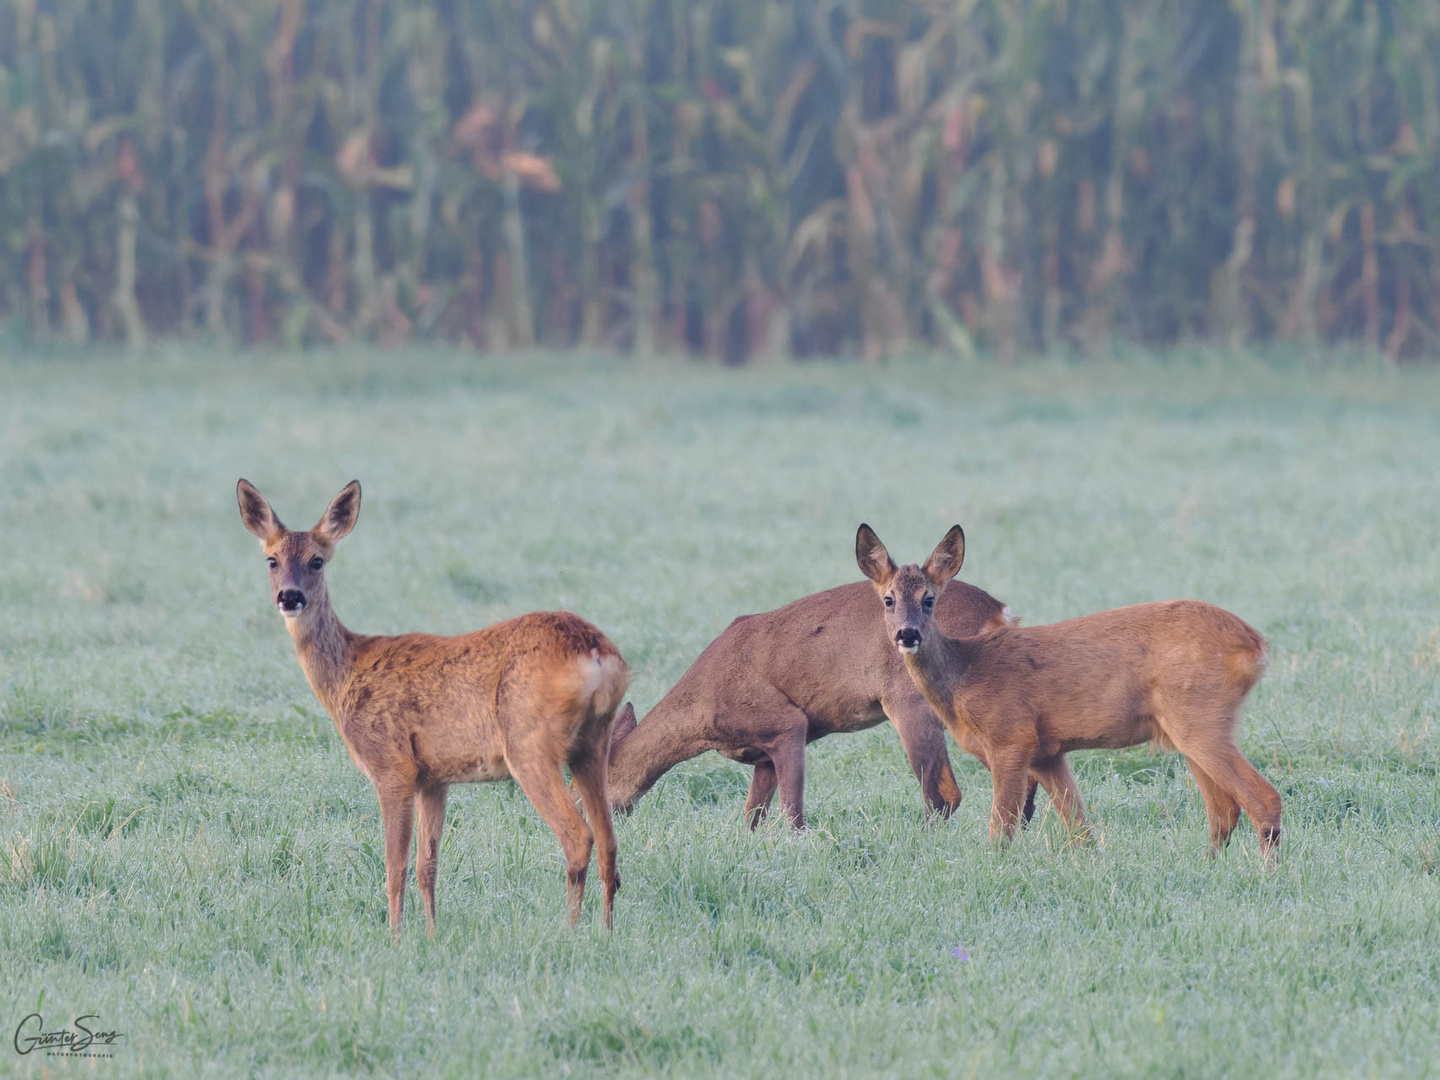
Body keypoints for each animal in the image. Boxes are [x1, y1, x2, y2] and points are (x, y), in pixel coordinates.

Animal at [237, 480, 630, 938]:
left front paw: (394, 938)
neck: (347, 674)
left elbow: (395, 867)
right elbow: (428, 866)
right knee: (609, 842)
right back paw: (605, 931)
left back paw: (567, 931)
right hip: (592, 742)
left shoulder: (393, 767)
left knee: (577, 836)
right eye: (272, 560)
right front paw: (431, 934)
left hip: (530, 743)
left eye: (317, 560)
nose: (289, 597)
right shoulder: (434, 779)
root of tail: (595, 651)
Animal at [601, 584, 1042, 829]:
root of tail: (1000, 612)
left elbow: (792, 814)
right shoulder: (763, 753)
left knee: (945, 793)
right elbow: (752, 815)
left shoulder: (786, 723)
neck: (700, 713)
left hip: (914, 699)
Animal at [852, 527, 1284, 864]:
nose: (907, 634)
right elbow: (1080, 831)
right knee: (1224, 810)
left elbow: (1001, 829)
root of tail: (1256, 645)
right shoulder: (1048, 753)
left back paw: (1266, 875)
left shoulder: (1012, 738)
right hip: (1188, 727)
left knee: (1264, 798)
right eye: (888, 599)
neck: (966, 674)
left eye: (929, 599)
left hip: (1199, 715)